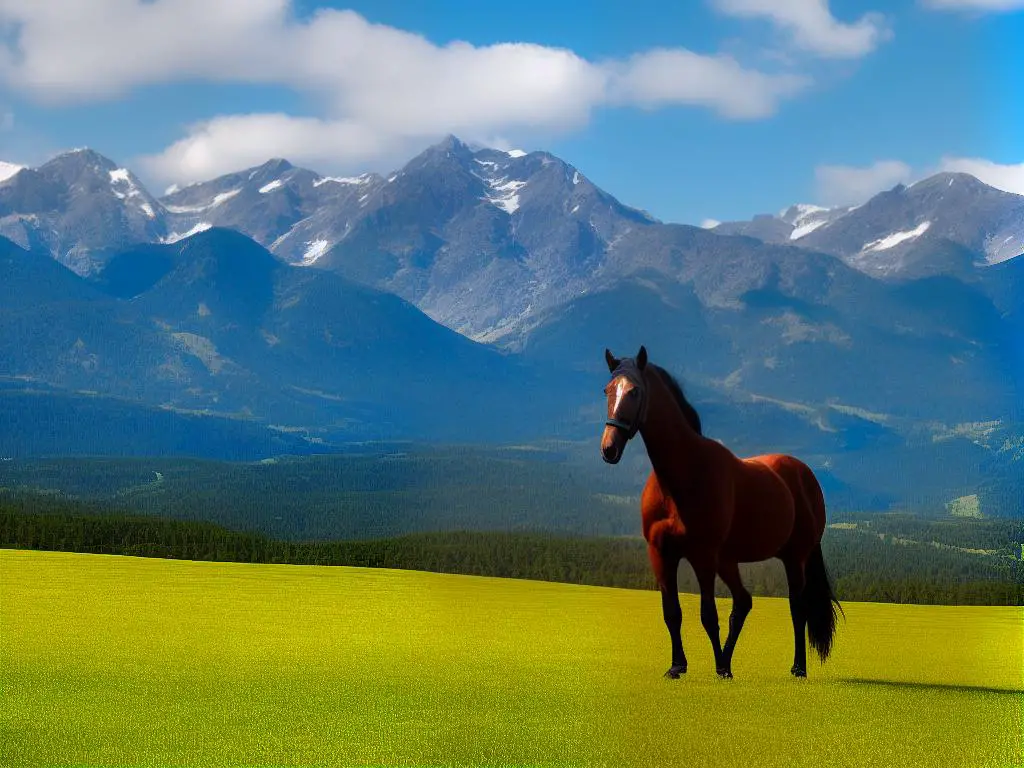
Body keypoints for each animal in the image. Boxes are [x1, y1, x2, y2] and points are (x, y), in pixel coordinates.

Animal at [598, 348, 843, 679]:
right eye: (608, 390)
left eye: (634, 391)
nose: (609, 448)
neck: (681, 478)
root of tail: (805, 475)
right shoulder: (661, 555)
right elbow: (672, 613)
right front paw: (678, 666)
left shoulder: (703, 556)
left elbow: (708, 614)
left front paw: (713, 669)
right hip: (730, 560)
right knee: (743, 602)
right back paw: (727, 661)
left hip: (795, 557)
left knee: (797, 607)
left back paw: (796, 667)